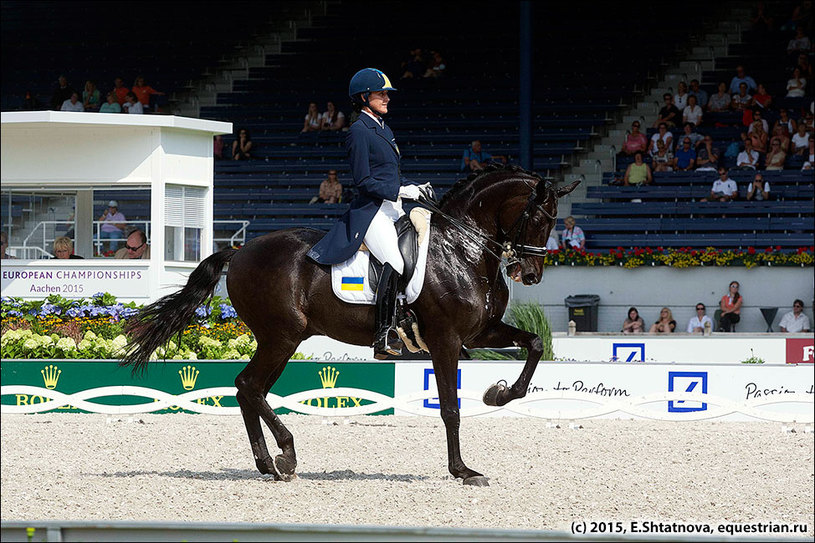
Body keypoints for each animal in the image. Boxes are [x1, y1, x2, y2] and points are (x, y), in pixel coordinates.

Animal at [121, 165, 580, 484]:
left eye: (554, 222)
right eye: (539, 219)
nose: (530, 275)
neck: (461, 250)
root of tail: (240, 250)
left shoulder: (481, 331)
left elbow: (535, 344)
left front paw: (499, 394)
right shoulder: (446, 339)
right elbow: (450, 408)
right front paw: (463, 471)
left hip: (282, 340)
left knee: (249, 390)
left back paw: (268, 464)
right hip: (281, 336)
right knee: (249, 386)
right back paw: (285, 454)